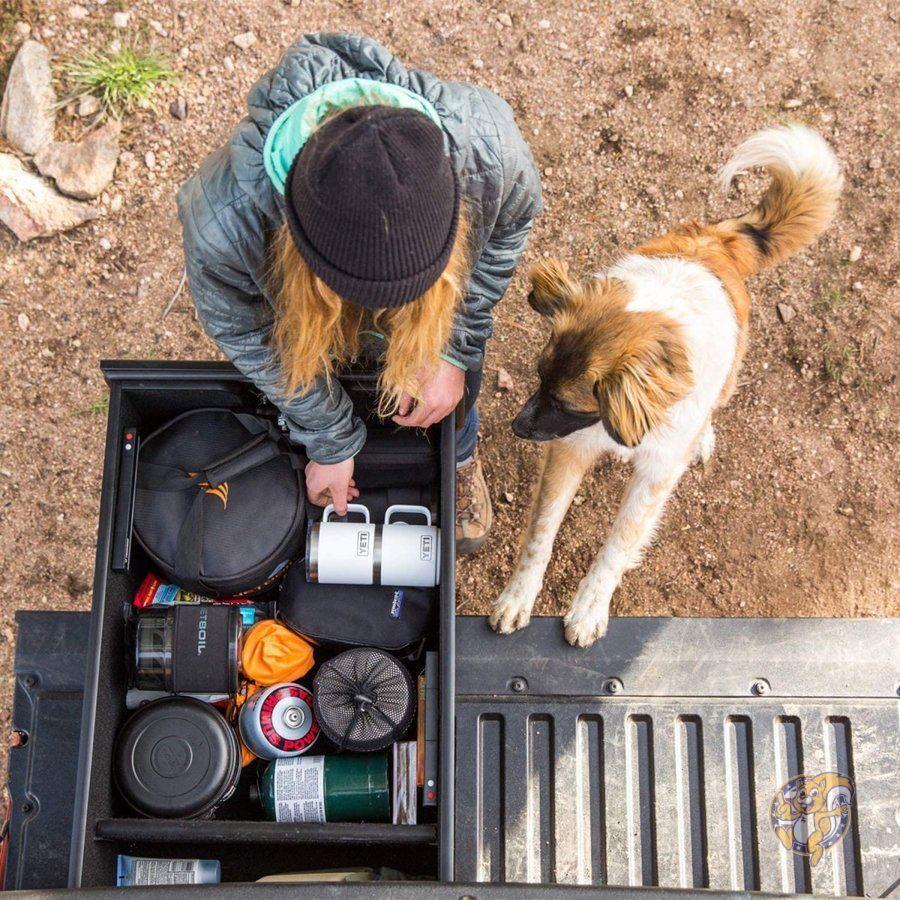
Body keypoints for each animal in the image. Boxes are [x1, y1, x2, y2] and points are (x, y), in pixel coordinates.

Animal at [488, 126, 840, 648]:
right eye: (538, 375)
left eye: (565, 401)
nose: (517, 427)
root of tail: (719, 238)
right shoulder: (570, 449)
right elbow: (541, 531)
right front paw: (518, 596)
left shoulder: (653, 475)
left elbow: (618, 544)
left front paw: (589, 607)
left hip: (729, 373)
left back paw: (704, 437)